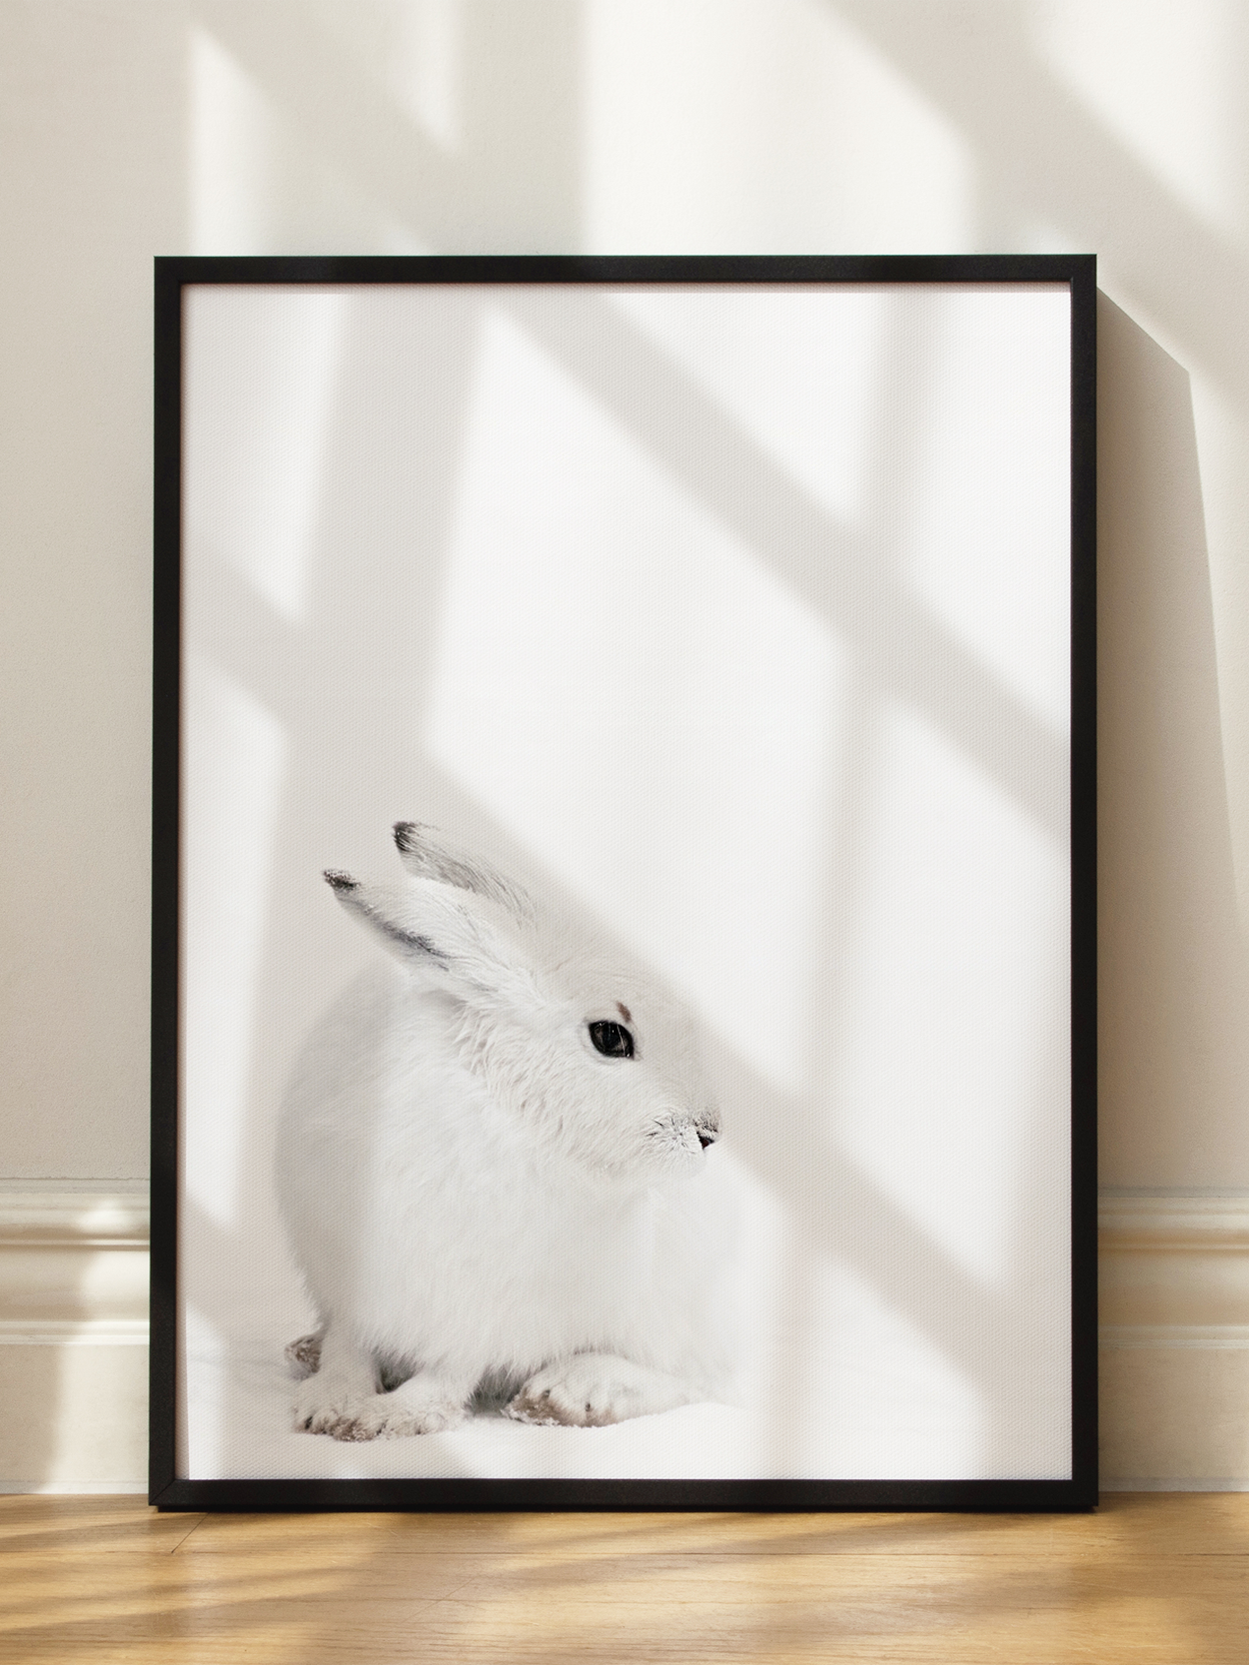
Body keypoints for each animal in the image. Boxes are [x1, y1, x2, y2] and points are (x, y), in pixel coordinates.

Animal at [275, 821, 731, 1442]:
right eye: (611, 1036)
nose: (708, 1132)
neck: (505, 1109)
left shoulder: (494, 1310)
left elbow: (452, 1369)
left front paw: (392, 1416)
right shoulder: (353, 1277)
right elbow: (351, 1345)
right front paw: (330, 1403)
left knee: (691, 1379)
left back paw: (571, 1395)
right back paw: (305, 1349)